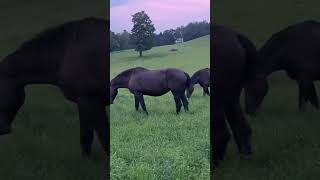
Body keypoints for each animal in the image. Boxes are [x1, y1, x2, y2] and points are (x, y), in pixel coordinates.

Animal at [0, 17, 109, 158]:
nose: (2, 129)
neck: (64, 53)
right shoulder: (83, 103)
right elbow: (86, 138)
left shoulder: (92, 101)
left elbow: (104, 138)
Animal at [212, 24, 258, 167]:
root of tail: (236, 36)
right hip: (231, 97)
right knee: (241, 126)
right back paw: (244, 156)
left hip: (219, 98)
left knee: (221, 132)